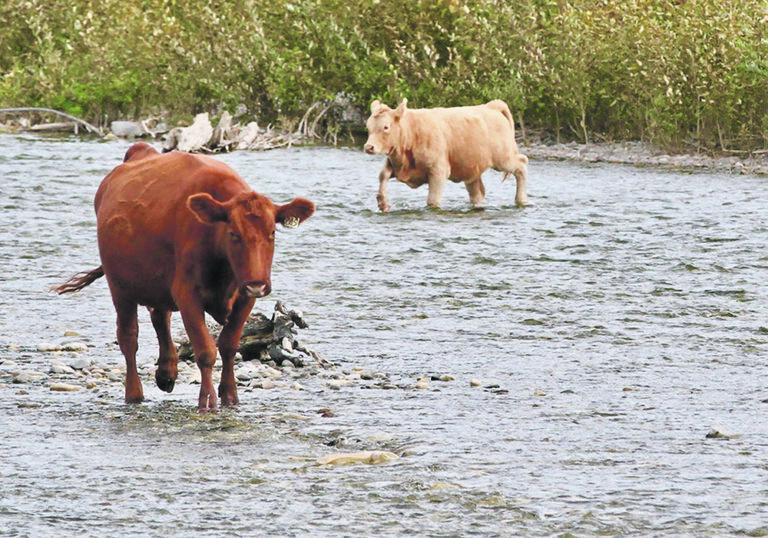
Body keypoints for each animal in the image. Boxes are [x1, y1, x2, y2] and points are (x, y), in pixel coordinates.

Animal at [56, 142, 314, 411]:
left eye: (272, 232)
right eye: (233, 233)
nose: (257, 283)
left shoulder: (245, 298)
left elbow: (229, 345)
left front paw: (230, 395)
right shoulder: (187, 293)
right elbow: (206, 350)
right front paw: (207, 400)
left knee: (160, 317)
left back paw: (166, 373)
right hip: (119, 286)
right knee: (129, 338)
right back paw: (134, 393)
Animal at [364, 99, 529, 211]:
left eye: (386, 127)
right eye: (368, 126)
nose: (368, 147)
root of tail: (491, 106)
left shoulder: (438, 170)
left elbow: (432, 200)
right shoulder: (397, 164)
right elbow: (383, 175)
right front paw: (383, 203)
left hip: (503, 157)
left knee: (522, 164)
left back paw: (521, 201)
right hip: (471, 168)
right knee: (477, 192)